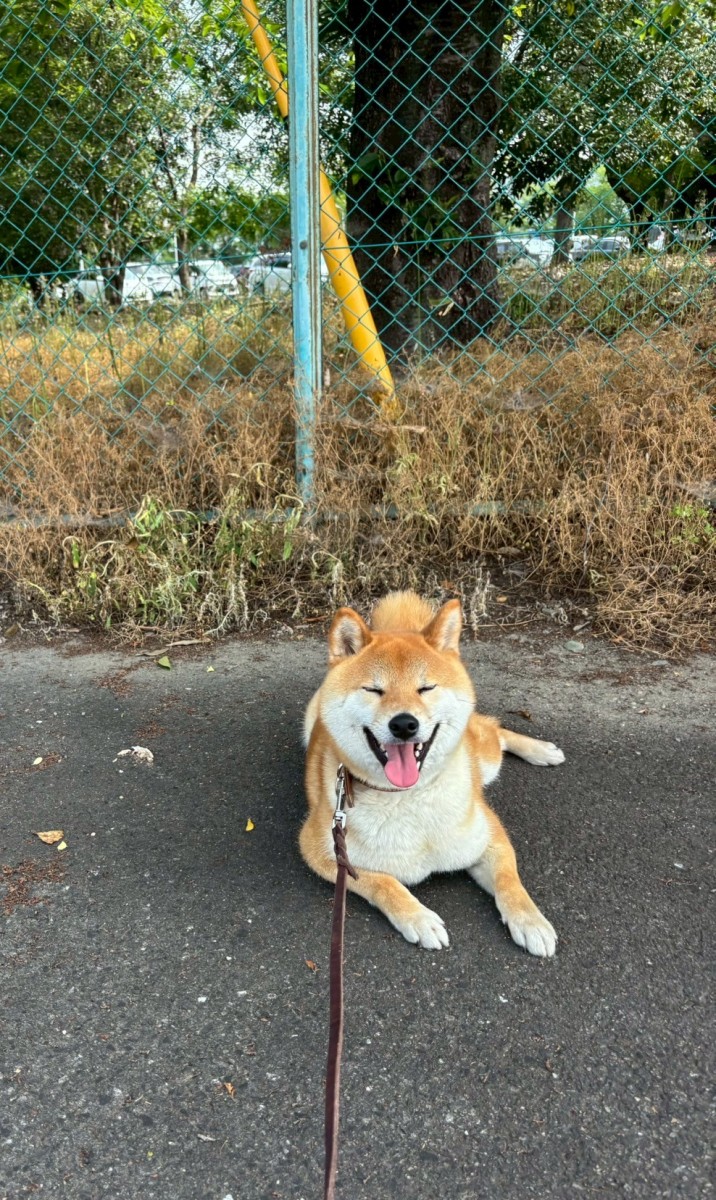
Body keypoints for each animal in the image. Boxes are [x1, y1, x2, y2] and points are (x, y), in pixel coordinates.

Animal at [300, 591, 564, 955]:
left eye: (426, 688)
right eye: (374, 690)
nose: (404, 724)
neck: (408, 797)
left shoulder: (488, 835)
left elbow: (510, 881)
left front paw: (530, 921)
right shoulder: (324, 853)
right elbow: (385, 882)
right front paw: (418, 918)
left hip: (485, 757)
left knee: (495, 730)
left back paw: (541, 751)